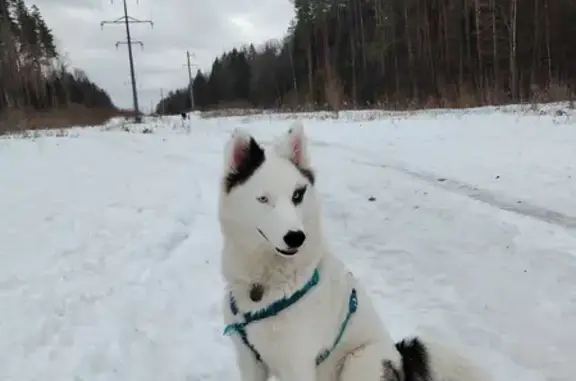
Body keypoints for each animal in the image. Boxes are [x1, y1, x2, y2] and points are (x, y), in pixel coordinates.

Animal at [218, 121, 488, 380]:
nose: (296, 238)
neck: (265, 282)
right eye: (263, 199)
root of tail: (399, 359)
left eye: (297, 195)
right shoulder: (250, 361)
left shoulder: (298, 365)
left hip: (358, 361)